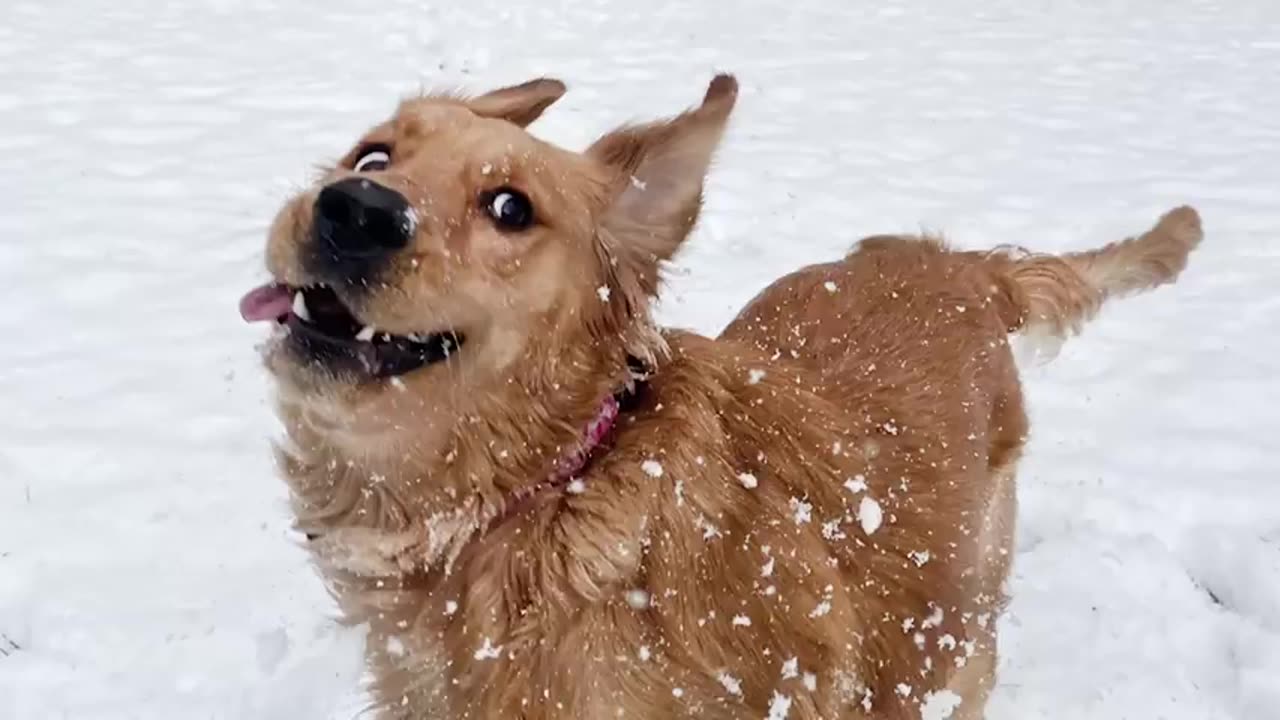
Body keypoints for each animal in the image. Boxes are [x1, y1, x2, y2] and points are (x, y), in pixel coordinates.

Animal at [238, 74, 1198, 717]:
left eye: (510, 207)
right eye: (373, 154)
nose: (354, 208)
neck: (545, 501)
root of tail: (964, 266)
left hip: (961, 636)